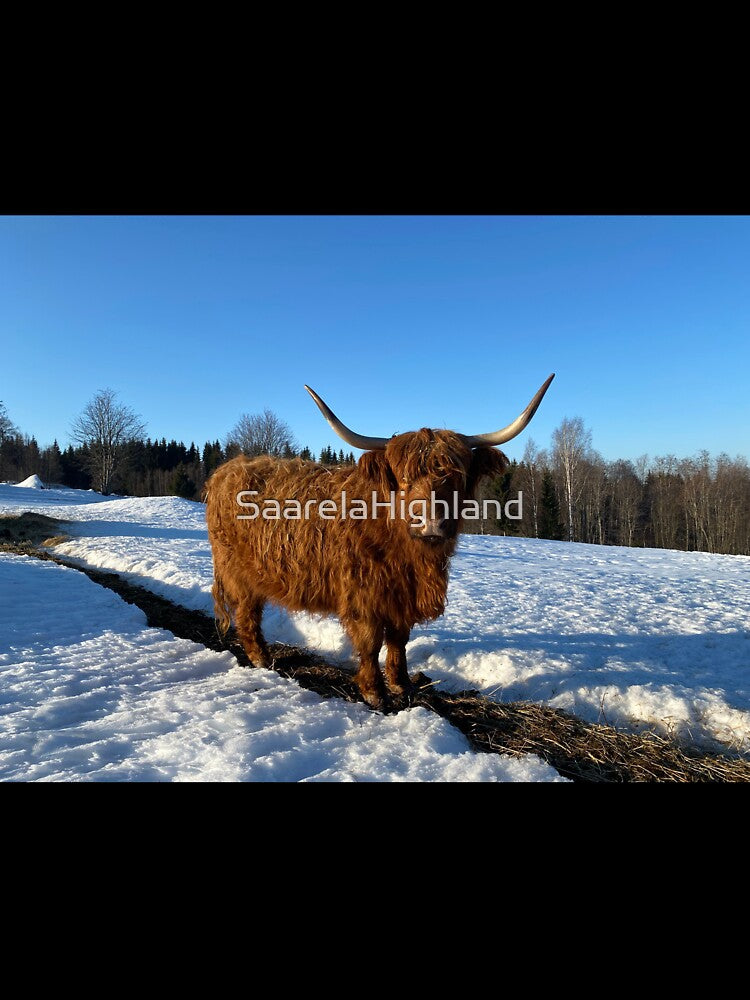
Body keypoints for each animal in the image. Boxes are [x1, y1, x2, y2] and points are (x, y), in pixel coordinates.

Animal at [205, 375, 554, 711]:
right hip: (237, 571)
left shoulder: (402, 598)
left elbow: (399, 640)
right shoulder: (363, 596)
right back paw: (261, 660)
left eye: (455, 477)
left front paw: (402, 684)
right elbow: (371, 643)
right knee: (247, 612)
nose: (431, 523)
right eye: (404, 479)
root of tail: (228, 469)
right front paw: (374, 692)